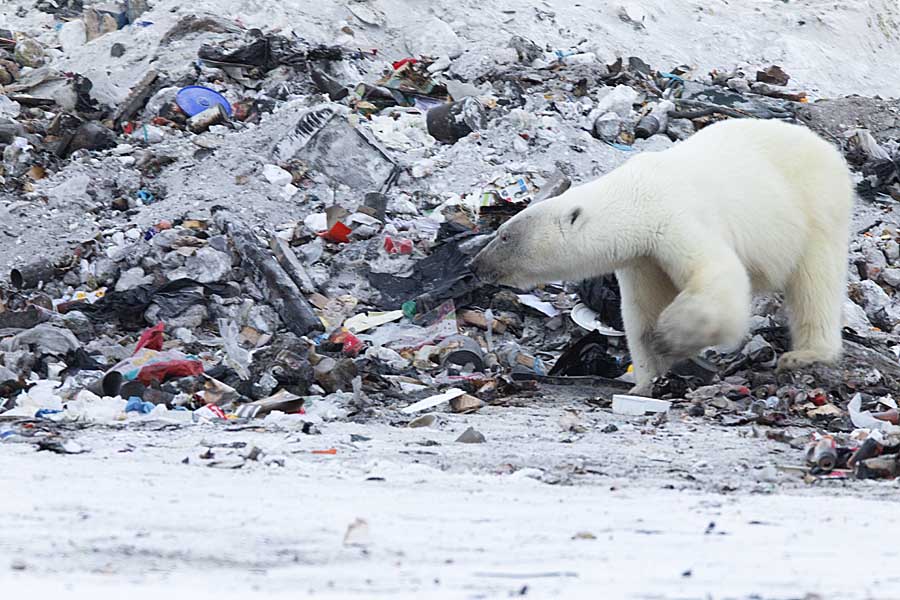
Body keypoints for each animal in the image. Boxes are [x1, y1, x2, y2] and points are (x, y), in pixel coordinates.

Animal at [472, 119, 852, 396]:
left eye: (505, 235)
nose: (476, 265)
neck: (637, 196)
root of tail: (828, 149)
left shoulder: (675, 217)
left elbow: (717, 274)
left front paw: (669, 338)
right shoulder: (642, 258)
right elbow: (642, 310)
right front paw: (644, 381)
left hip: (815, 205)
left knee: (815, 282)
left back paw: (805, 354)